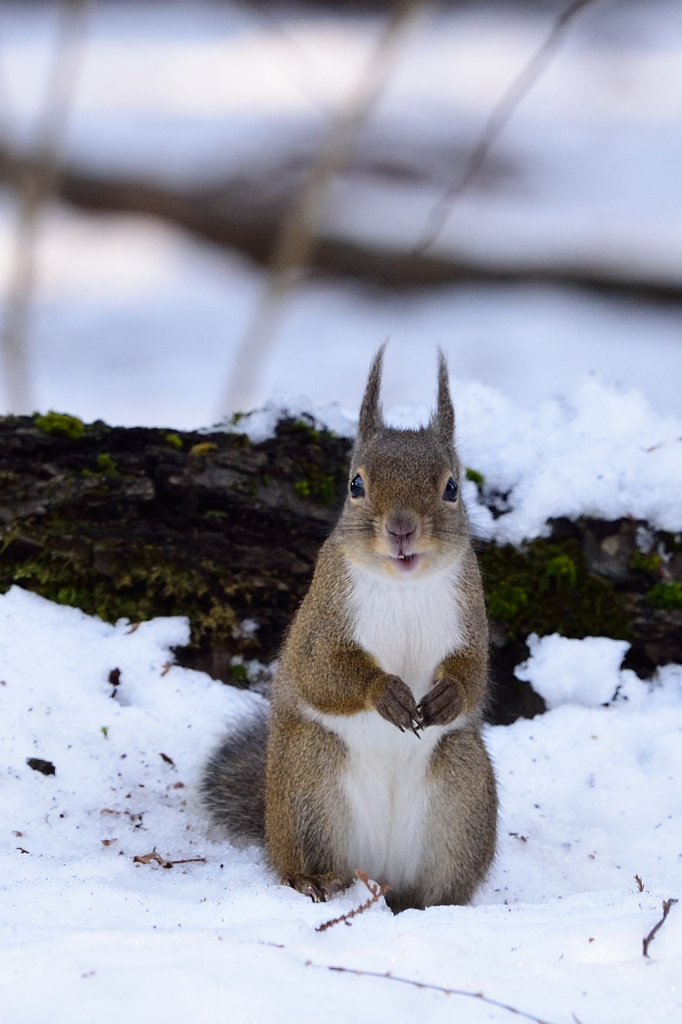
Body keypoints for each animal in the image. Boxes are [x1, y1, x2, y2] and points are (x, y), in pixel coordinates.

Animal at [199, 346, 497, 913]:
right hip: (310, 786)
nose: (401, 528)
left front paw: (448, 695)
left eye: (452, 487)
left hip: (461, 798)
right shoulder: (322, 620)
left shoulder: (471, 614)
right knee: (302, 859)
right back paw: (315, 881)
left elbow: (475, 673)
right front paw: (386, 693)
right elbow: (324, 671)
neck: (403, 585)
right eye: (356, 484)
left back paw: (432, 906)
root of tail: (376, 870)